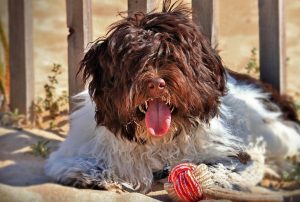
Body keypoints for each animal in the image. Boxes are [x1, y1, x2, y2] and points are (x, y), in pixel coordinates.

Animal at [44, 1, 300, 194]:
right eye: (134, 59)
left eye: (173, 57)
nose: (156, 83)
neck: (159, 141)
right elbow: (77, 163)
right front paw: (93, 175)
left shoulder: (231, 151)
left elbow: (233, 165)